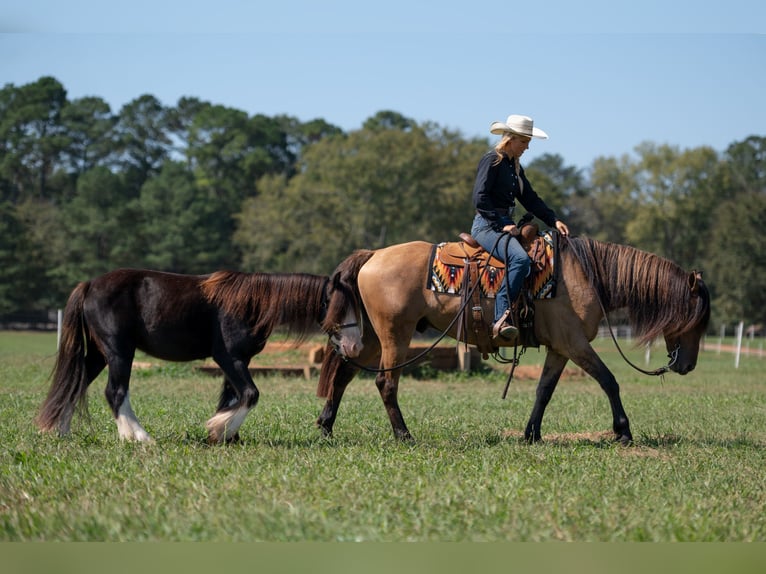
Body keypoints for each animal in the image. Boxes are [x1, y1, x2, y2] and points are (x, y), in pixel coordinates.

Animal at [33, 270, 364, 446]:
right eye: (337, 306)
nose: (355, 347)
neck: (251, 302)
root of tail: (89, 285)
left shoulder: (239, 361)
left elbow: (232, 397)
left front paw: (226, 435)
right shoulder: (229, 358)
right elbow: (250, 394)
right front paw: (219, 429)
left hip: (100, 355)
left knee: (75, 384)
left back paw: (60, 430)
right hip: (119, 352)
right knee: (115, 392)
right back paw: (138, 436)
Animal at [316, 235, 712, 446]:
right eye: (697, 319)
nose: (688, 365)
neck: (586, 275)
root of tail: (374, 255)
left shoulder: (559, 349)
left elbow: (544, 391)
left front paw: (531, 434)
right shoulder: (576, 345)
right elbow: (609, 381)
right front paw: (624, 431)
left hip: (373, 337)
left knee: (345, 373)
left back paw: (325, 425)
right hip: (394, 335)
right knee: (385, 382)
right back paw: (403, 434)